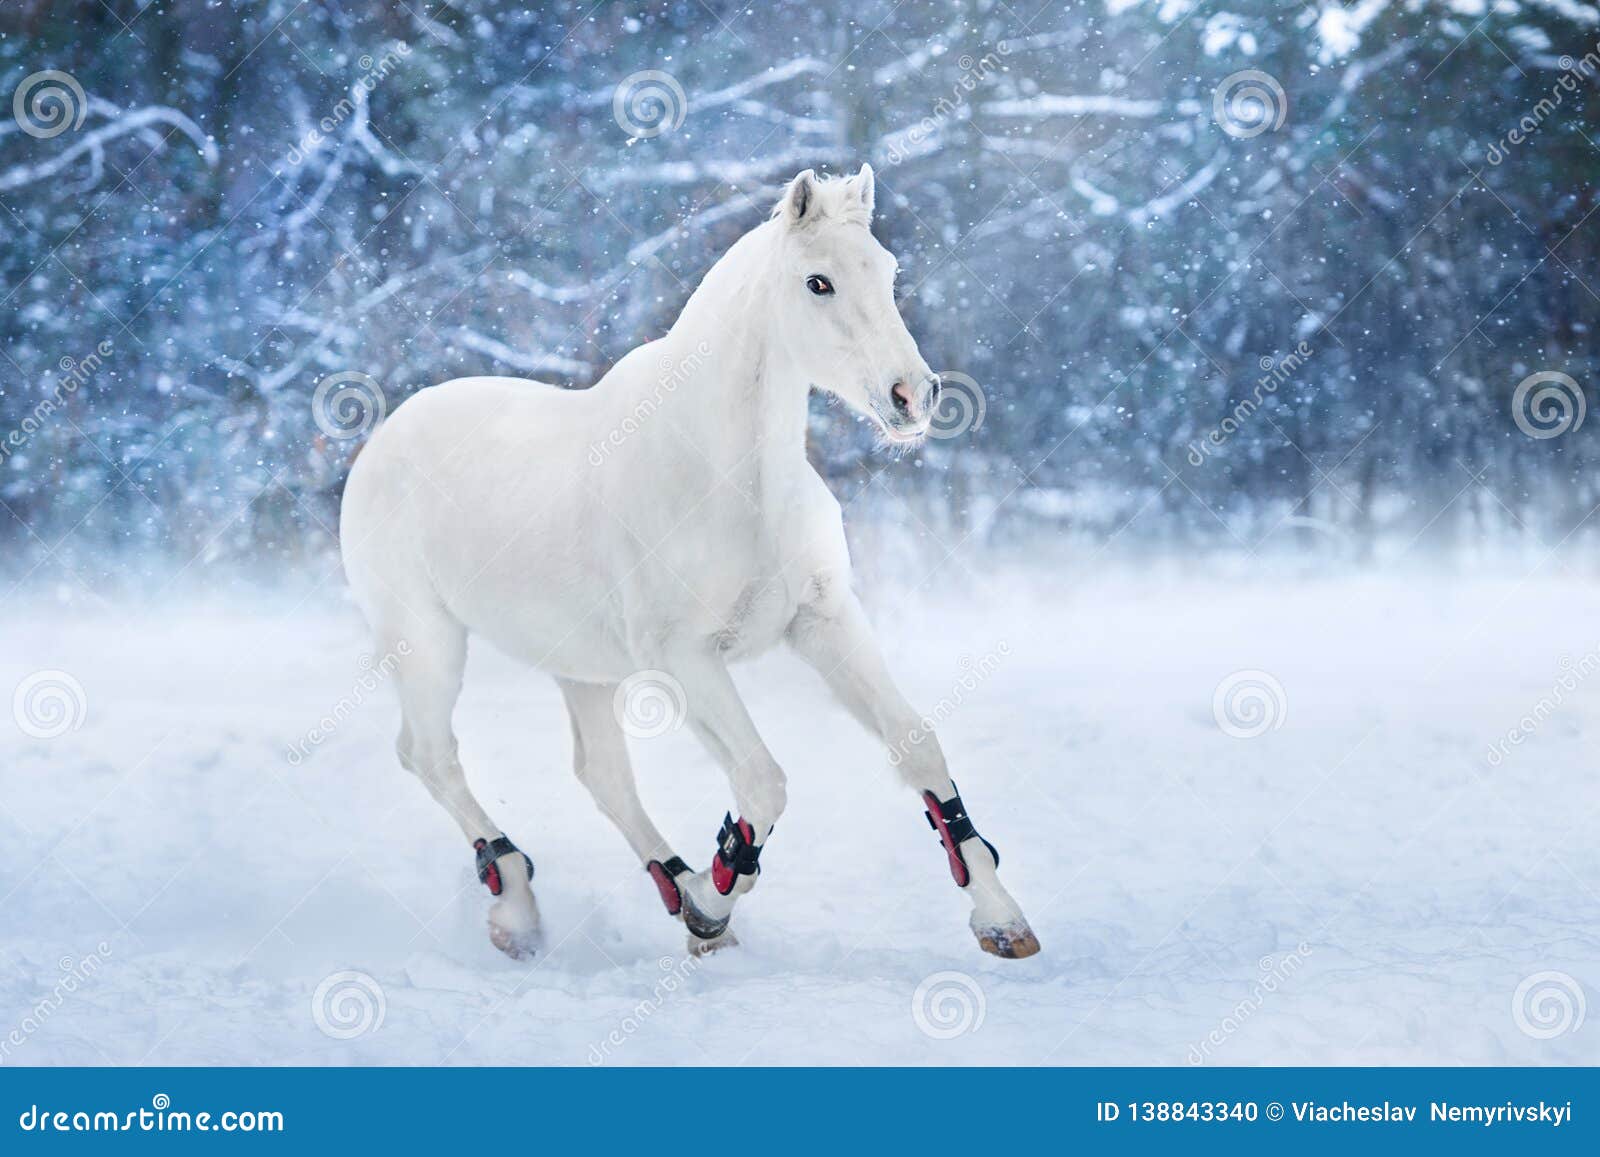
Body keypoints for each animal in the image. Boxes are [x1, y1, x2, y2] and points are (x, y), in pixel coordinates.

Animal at [340, 163, 1036, 960]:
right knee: (431, 755)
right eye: (818, 282)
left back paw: (673, 892)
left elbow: (915, 747)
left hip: (579, 668)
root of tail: (384, 435)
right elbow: (763, 781)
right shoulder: (685, 659)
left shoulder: (822, 622)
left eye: (886, 270)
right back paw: (520, 904)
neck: (733, 478)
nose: (912, 397)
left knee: (601, 776)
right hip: (426, 643)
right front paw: (716, 896)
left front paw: (1002, 918)